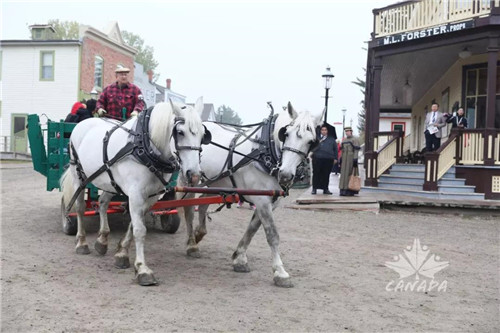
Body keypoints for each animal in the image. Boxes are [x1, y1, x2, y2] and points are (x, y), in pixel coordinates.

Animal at [61, 97, 209, 284]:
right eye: (180, 132)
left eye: (203, 135)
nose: (194, 175)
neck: (144, 146)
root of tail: (83, 123)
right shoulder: (136, 194)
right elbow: (140, 230)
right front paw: (142, 269)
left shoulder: (150, 196)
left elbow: (134, 224)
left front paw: (122, 253)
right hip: (78, 176)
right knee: (79, 208)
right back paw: (81, 242)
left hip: (110, 180)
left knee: (102, 203)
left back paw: (102, 240)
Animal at [180, 102, 320, 286]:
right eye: (286, 134)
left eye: (311, 141)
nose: (285, 175)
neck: (264, 153)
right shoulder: (262, 201)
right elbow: (272, 235)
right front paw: (280, 272)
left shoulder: (269, 202)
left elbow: (252, 229)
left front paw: (239, 258)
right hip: (190, 179)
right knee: (188, 210)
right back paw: (191, 244)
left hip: (216, 182)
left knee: (203, 204)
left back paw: (199, 234)